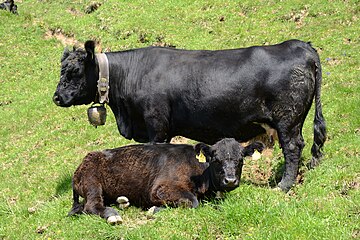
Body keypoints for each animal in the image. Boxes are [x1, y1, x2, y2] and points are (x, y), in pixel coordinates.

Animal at [53, 39, 326, 191]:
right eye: (62, 69)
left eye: (75, 71)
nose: (56, 97)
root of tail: (299, 45)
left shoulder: (156, 125)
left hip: (287, 120)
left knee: (292, 147)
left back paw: (283, 185)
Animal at [68, 138, 264, 224]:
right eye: (215, 159)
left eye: (240, 159)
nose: (230, 180)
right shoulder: (160, 189)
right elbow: (192, 202)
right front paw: (154, 209)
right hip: (92, 182)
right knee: (91, 206)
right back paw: (113, 215)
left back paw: (123, 202)